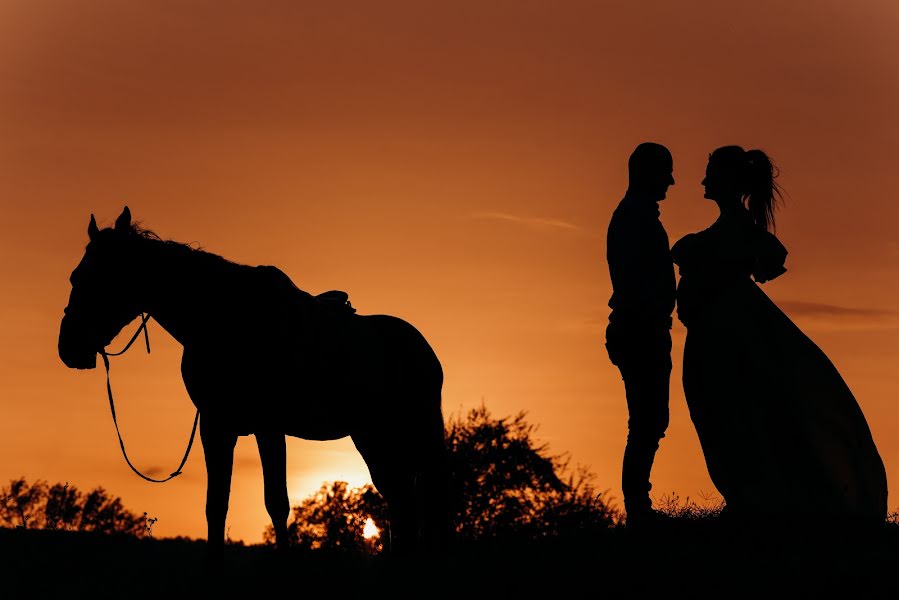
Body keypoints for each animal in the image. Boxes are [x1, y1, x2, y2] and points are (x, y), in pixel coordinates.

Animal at [57, 207, 450, 556]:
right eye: (75, 277)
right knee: (399, 500)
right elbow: (215, 506)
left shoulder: (268, 425)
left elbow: (277, 503)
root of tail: (425, 351)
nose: (68, 348)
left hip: (413, 435)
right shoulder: (216, 426)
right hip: (372, 437)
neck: (226, 321)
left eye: (100, 278)